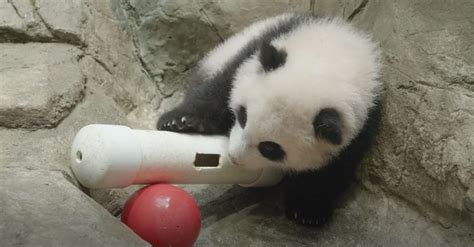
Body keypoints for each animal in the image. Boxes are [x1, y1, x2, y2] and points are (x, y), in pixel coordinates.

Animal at [158, 13, 382, 226]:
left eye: (270, 148)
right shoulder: (259, 47)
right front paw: (180, 121)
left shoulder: (364, 121)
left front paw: (307, 210)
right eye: (242, 116)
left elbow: (332, 168)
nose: (234, 157)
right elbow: (221, 87)